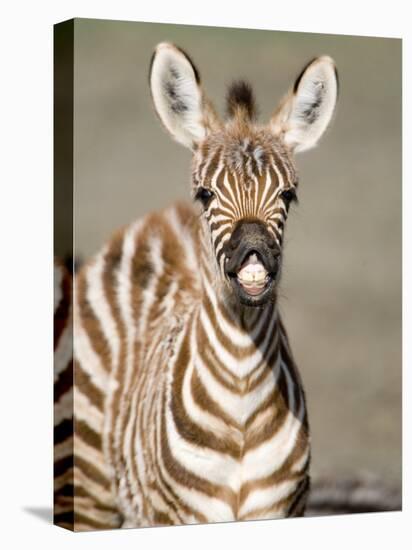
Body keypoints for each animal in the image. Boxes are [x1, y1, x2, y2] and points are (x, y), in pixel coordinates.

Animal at [54, 44, 338, 536]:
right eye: (206, 194)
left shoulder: (280, 510)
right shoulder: (179, 514)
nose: (253, 255)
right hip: (90, 487)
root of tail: (159, 219)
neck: (242, 391)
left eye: (288, 196)